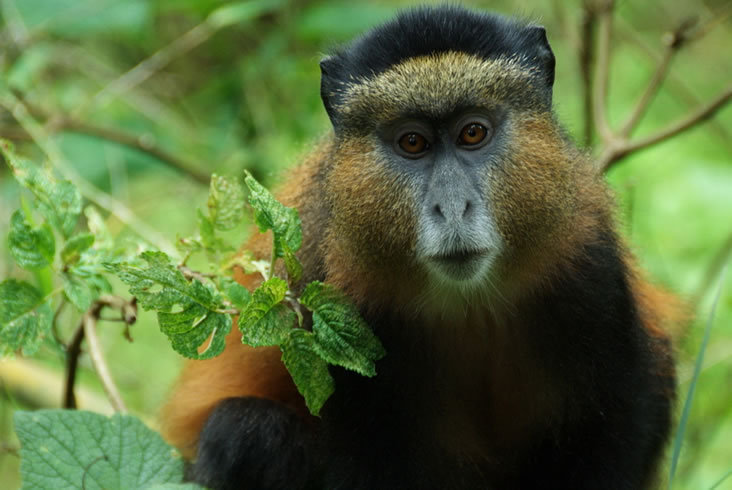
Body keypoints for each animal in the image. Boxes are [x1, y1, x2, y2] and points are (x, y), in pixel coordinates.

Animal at [162, 6, 678, 489]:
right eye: (413, 142)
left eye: (473, 133)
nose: (452, 208)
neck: (471, 302)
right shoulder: (343, 309)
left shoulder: (588, 265)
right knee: (247, 432)